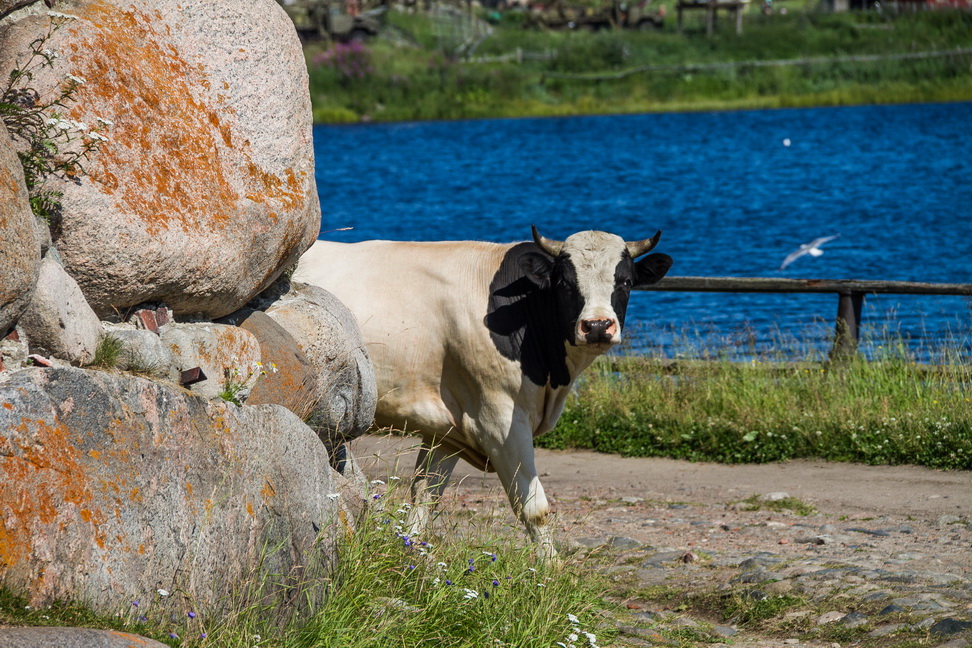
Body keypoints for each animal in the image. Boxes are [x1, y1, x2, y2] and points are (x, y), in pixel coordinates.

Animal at [294, 225, 676, 556]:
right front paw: (551, 574)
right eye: (566, 282)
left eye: (624, 281)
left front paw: (410, 558)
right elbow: (533, 507)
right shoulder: (498, 419)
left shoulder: (447, 427)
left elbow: (424, 496)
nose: (597, 326)